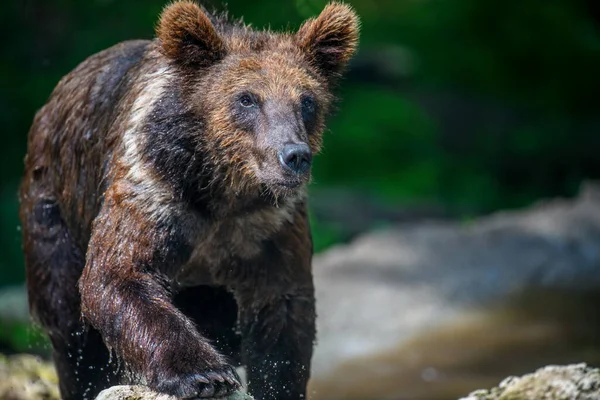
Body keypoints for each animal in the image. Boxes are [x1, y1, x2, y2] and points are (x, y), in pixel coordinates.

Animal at [18, 1, 358, 398]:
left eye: (307, 101)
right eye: (247, 98)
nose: (294, 155)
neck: (223, 189)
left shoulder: (269, 225)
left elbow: (283, 311)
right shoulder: (155, 189)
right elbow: (118, 273)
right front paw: (203, 374)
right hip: (53, 209)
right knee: (69, 325)